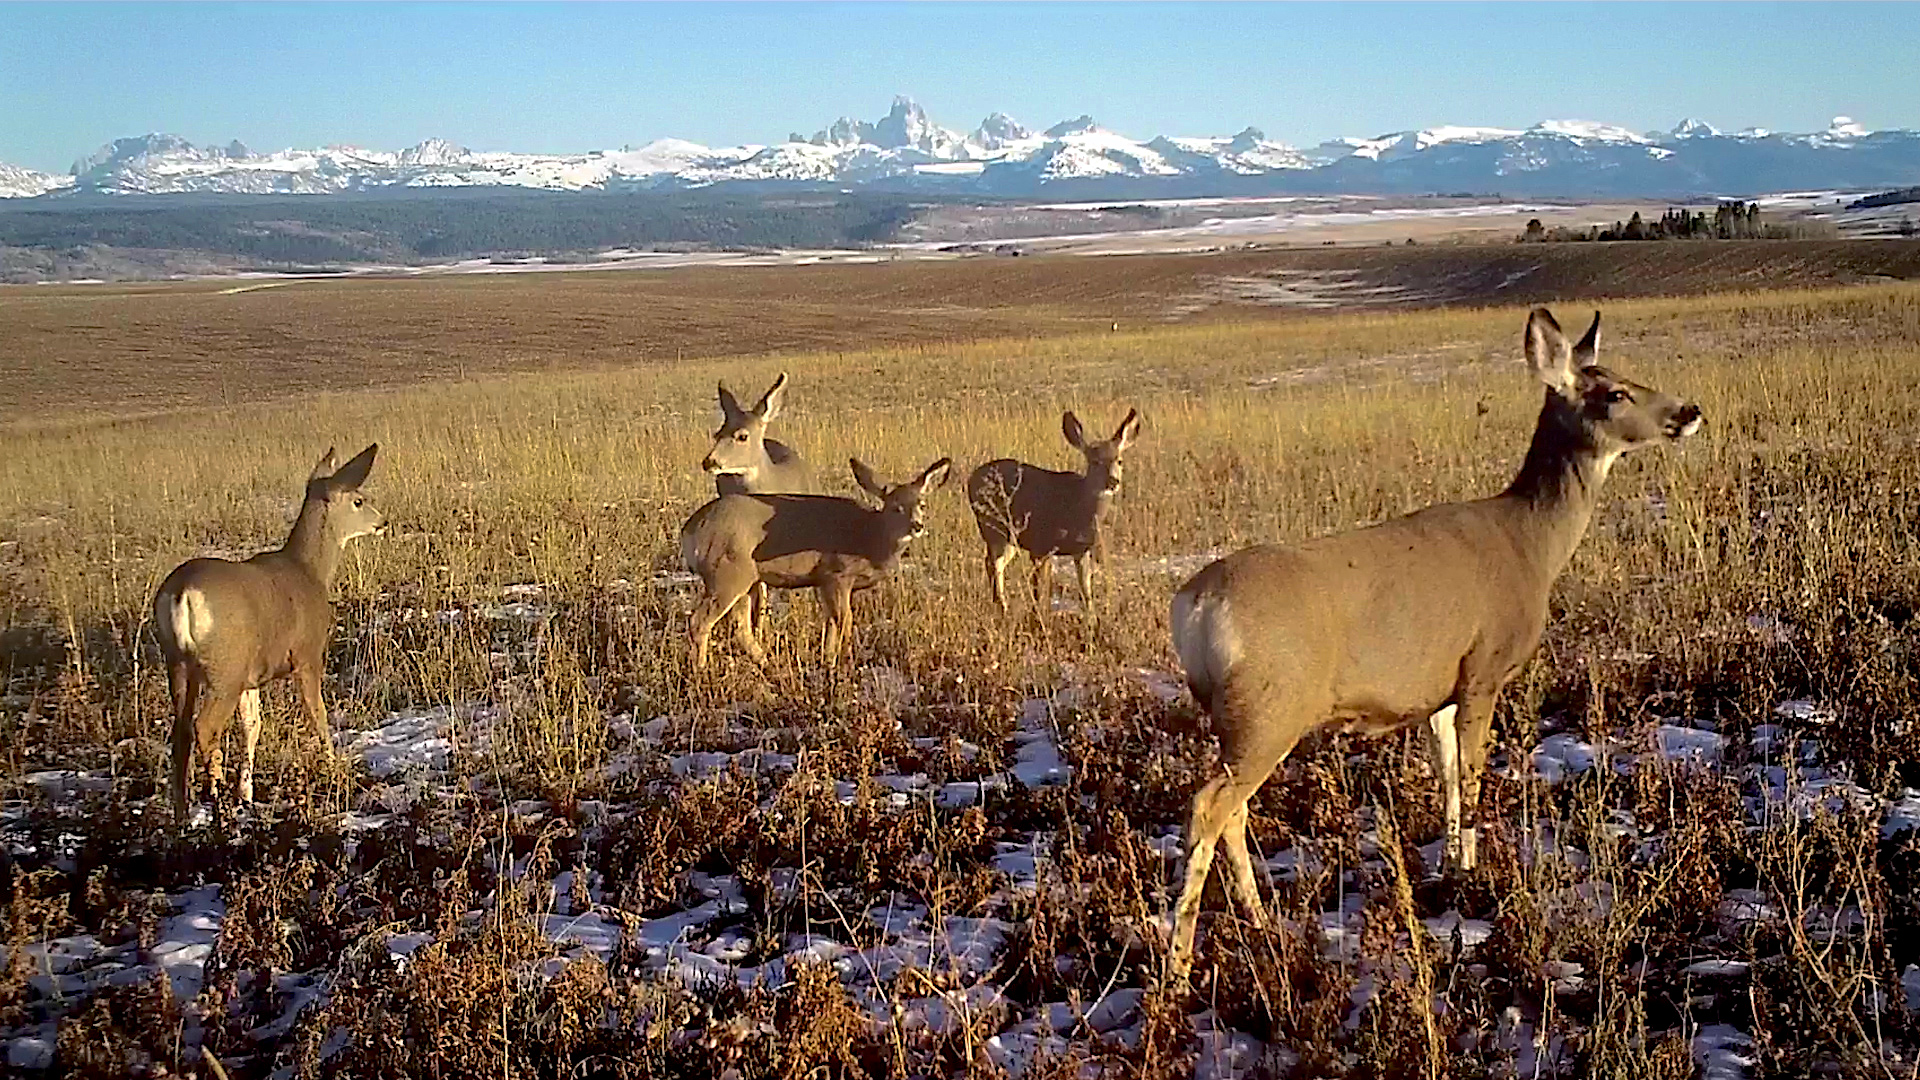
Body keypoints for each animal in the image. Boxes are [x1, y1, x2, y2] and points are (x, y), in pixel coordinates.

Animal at [151, 441, 384, 810]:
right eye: (359, 500)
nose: (382, 521)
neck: (309, 571)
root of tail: (181, 592)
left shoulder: (252, 675)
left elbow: (253, 725)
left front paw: (246, 793)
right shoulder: (306, 654)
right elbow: (317, 714)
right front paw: (334, 767)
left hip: (177, 662)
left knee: (181, 733)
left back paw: (183, 810)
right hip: (224, 667)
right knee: (205, 727)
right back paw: (215, 801)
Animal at [687, 457, 956, 668]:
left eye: (922, 504)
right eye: (895, 507)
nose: (917, 526)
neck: (869, 537)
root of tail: (690, 529)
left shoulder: (822, 582)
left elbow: (831, 626)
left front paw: (829, 662)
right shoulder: (837, 574)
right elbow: (845, 623)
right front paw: (846, 661)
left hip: (744, 578)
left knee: (740, 626)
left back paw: (765, 662)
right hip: (727, 572)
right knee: (700, 621)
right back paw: (701, 670)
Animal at [967, 405, 1128, 614]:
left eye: (1119, 460)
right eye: (1095, 461)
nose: (1113, 481)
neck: (1078, 508)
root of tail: (970, 479)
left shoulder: (1082, 549)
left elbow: (1086, 590)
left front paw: (1092, 618)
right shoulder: (1040, 544)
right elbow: (1040, 590)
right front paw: (1039, 616)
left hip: (1010, 537)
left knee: (995, 563)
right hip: (993, 526)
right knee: (993, 563)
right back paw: (1002, 606)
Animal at [1159, 307, 1704, 980]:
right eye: (1614, 393)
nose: (1689, 411)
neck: (1530, 544)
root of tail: (1194, 606)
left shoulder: (1441, 688)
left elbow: (1445, 769)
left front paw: (1450, 865)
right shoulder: (1485, 665)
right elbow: (1471, 773)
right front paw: (1471, 874)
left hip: (1236, 715)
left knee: (1229, 810)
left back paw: (1259, 922)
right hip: (1271, 705)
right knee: (1208, 807)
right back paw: (1178, 967)